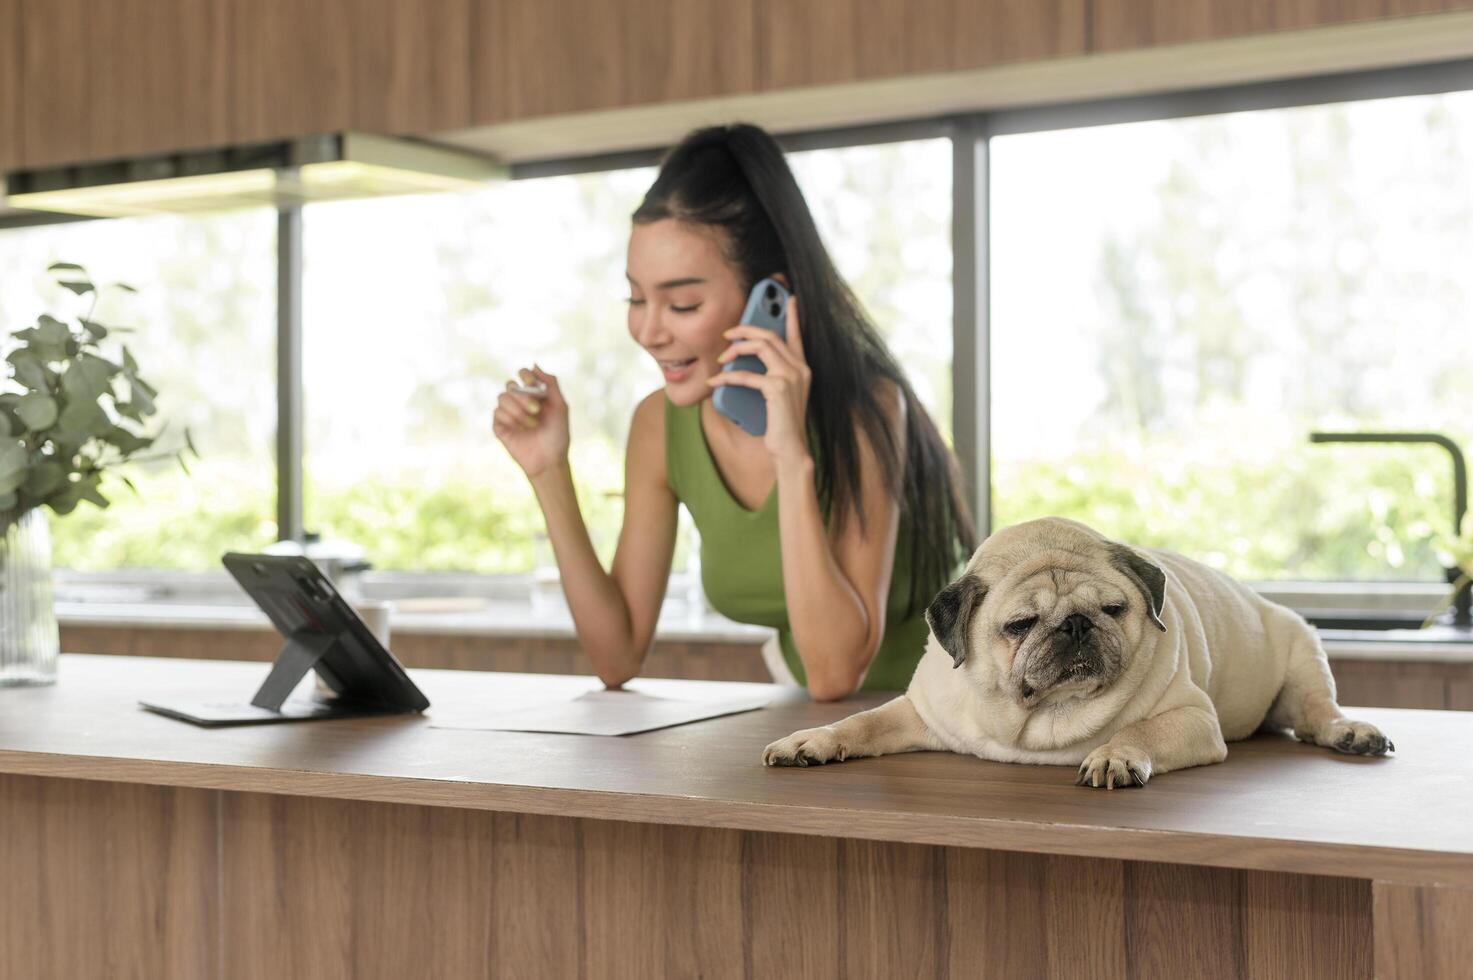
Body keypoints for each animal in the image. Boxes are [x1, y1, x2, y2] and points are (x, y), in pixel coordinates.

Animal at [760, 518, 1390, 789]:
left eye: (1113, 609)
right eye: (1019, 625)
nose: (1077, 625)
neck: (1039, 719)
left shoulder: (1191, 719)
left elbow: (1140, 730)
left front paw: (1115, 755)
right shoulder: (919, 713)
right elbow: (861, 722)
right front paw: (810, 741)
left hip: (1303, 655)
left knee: (1317, 713)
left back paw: (1351, 733)